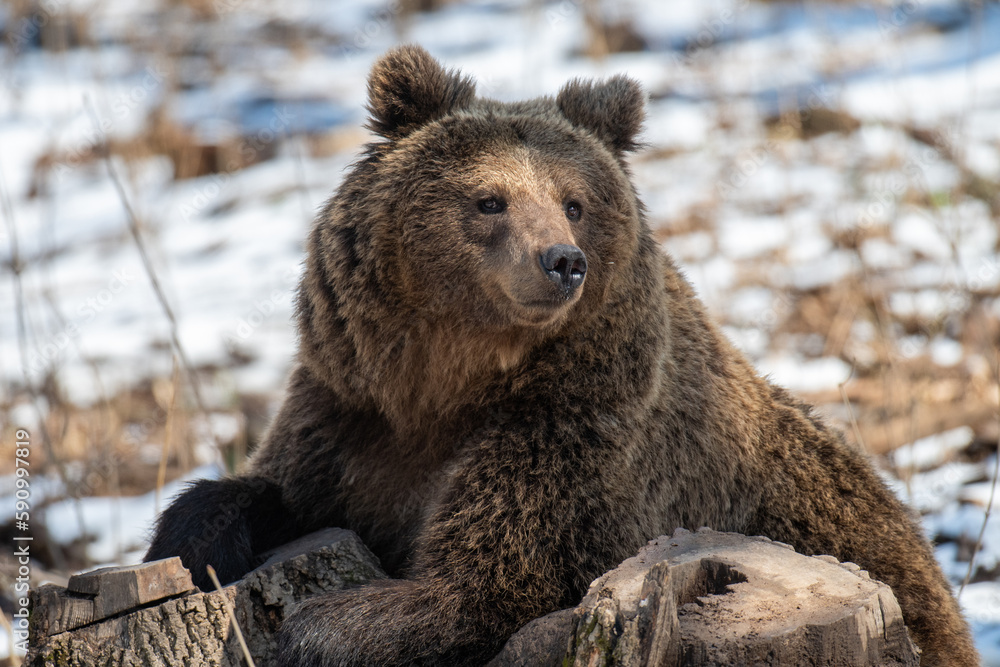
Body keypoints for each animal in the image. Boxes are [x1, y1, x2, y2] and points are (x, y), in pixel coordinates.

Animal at [145, 45, 979, 666]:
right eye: (490, 199)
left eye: (575, 201)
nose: (562, 261)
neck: (450, 382)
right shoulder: (350, 410)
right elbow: (274, 488)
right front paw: (195, 537)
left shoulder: (573, 432)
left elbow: (483, 585)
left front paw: (312, 629)